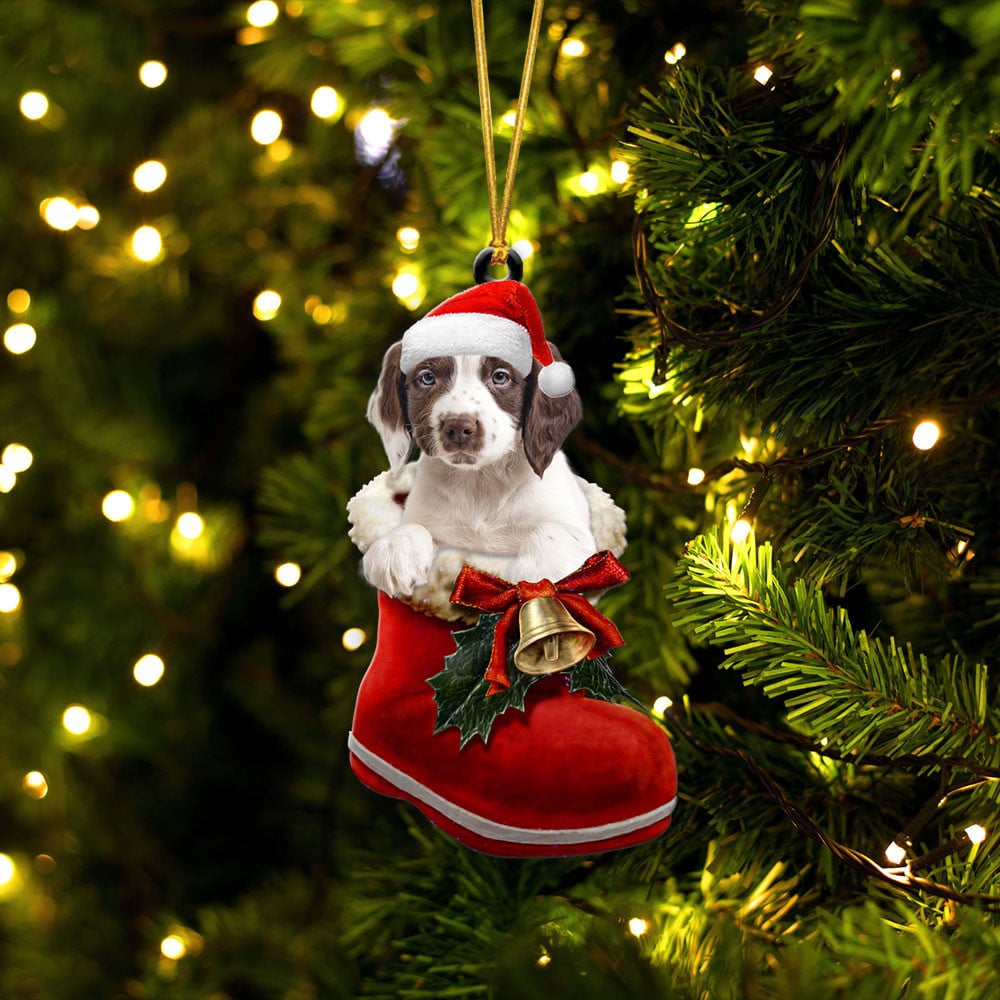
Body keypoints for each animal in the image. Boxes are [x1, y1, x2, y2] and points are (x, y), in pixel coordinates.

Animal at [364, 340, 596, 596]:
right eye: (427, 378)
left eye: (500, 377)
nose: (458, 427)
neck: (480, 481)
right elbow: (414, 527)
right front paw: (395, 548)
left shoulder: (580, 535)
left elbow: (550, 532)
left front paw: (537, 579)